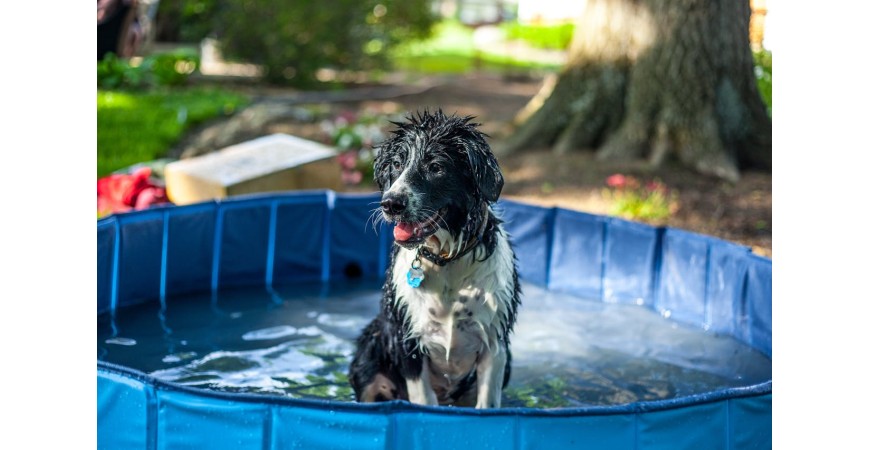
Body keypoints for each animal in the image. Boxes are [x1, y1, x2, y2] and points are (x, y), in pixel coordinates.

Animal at [350, 110, 524, 408]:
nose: (391, 204)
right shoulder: (407, 340)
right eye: (397, 164)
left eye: (436, 167)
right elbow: (424, 400)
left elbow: (487, 403)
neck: (446, 260)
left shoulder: (495, 343)